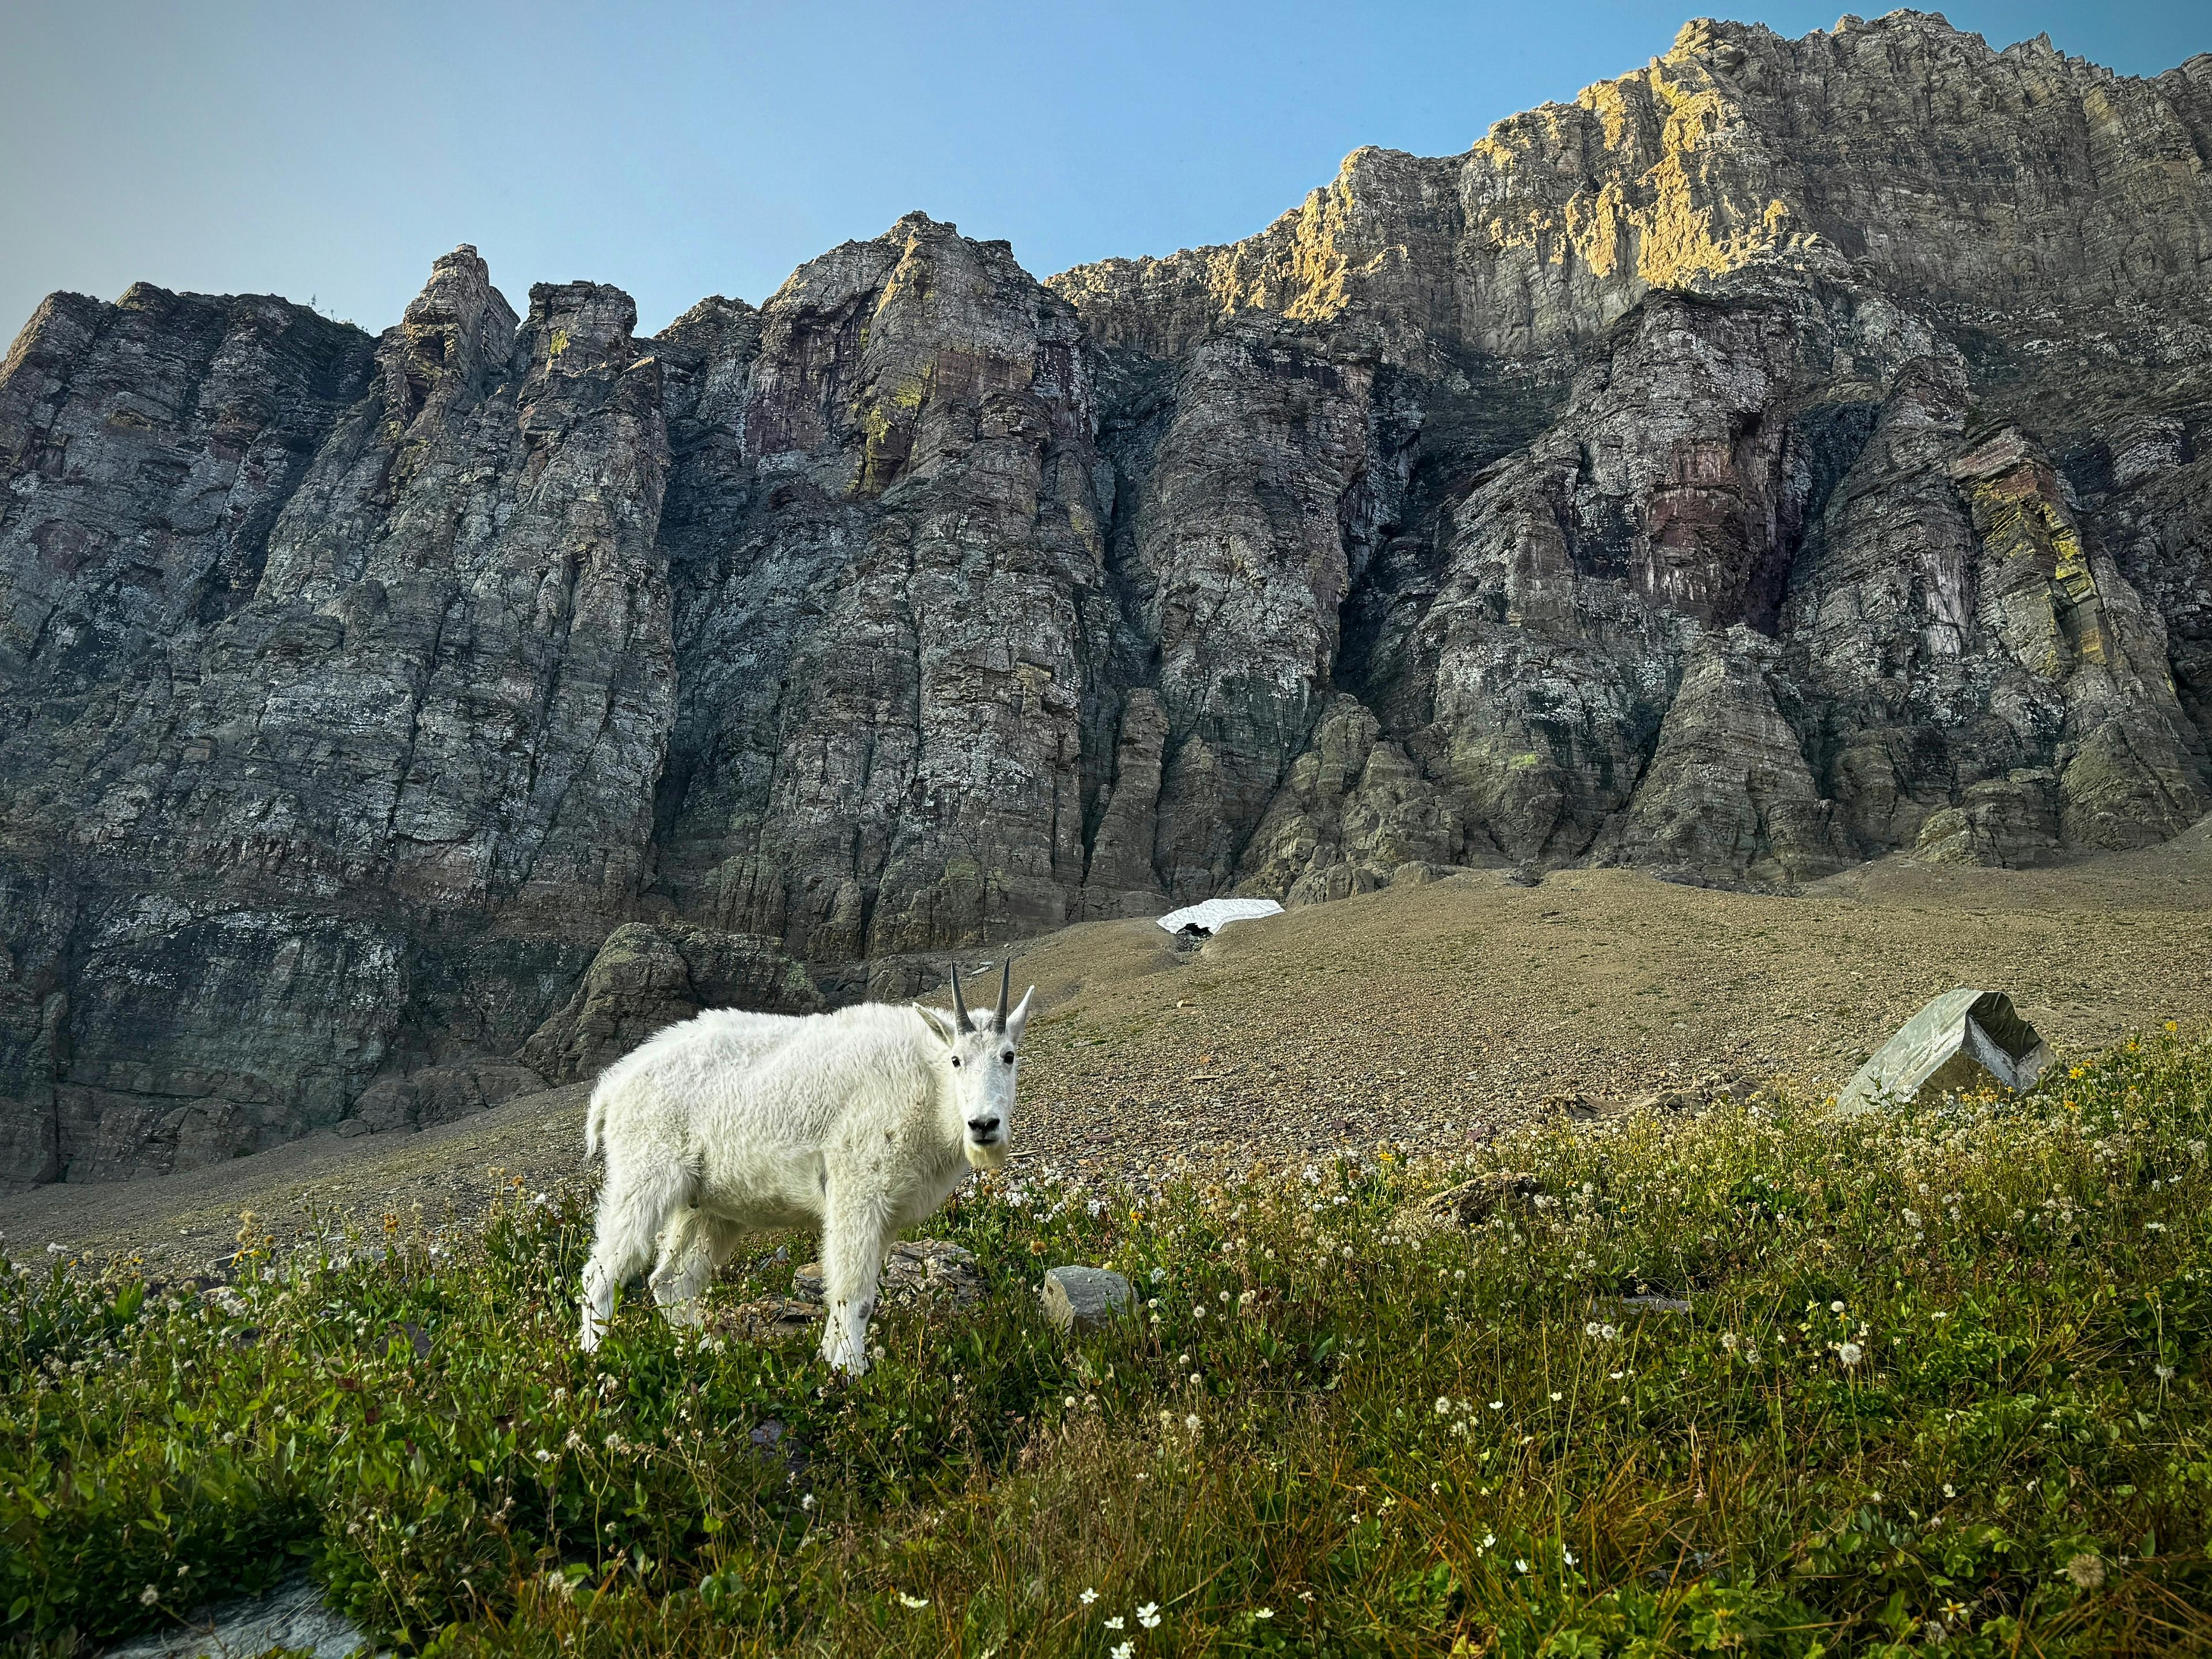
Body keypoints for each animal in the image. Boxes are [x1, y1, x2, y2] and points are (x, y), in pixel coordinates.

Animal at [579, 961, 1034, 1373]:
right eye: (957, 1060)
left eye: (1009, 1056)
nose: (983, 1125)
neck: (930, 1087)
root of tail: (613, 1086)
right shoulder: (856, 1190)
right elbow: (854, 1291)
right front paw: (850, 1372)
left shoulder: (888, 1215)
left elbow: (862, 1289)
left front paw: (832, 1361)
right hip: (644, 1175)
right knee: (602, 1273)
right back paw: (594, 1359)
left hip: (707, 1207)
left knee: (672, 1282)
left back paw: (707, 1353)